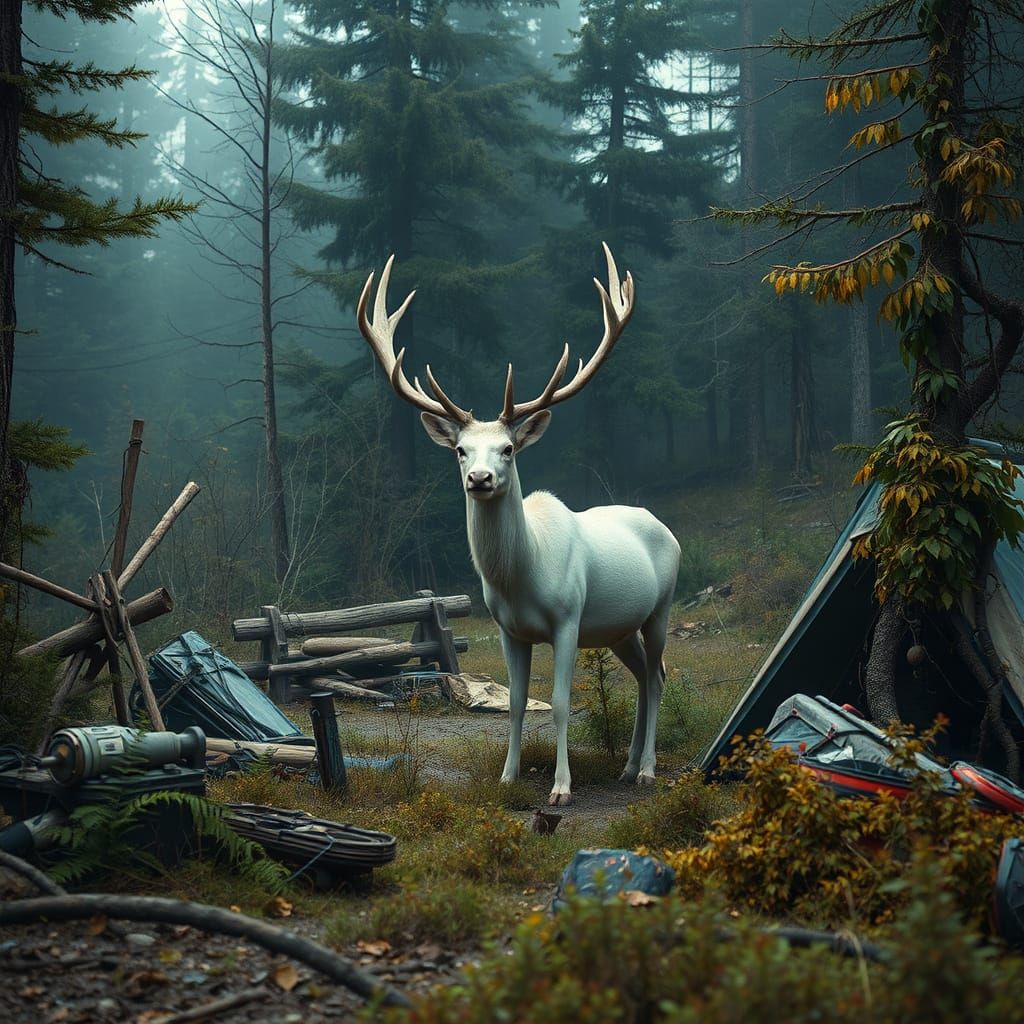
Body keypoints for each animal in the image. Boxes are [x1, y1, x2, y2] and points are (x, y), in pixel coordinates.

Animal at [356, 244, 681, 805]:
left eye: (507, 448)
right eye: (461, 450)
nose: (480, 478)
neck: (523, 577)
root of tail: (663, 525)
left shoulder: (569, 618)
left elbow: (560, 702)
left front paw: (561, 787)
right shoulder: (508, 629)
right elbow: (514, 701)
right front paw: (508, 777)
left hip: (660, 607)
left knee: (659, 676)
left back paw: (646, 771)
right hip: (618, 626)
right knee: (644, 675)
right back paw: (626, 765)